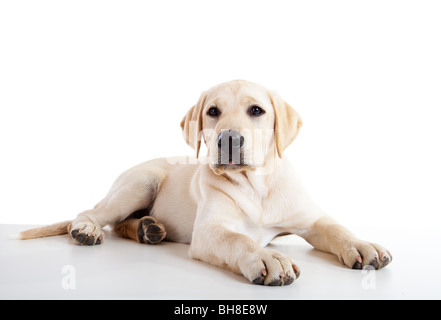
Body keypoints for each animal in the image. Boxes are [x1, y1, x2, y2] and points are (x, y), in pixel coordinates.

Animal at [20, 79, 392, 284]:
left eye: (257, 111)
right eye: (213, 112)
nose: (229, 138)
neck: (256, 186)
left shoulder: (311, 219)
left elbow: (337, 228)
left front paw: (363, 245)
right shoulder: (211, 230)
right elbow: (238, 240)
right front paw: (266, 258)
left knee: (122, 223)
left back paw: (148, 229)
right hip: (141, 182)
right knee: (96, 214)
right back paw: (88, 229)